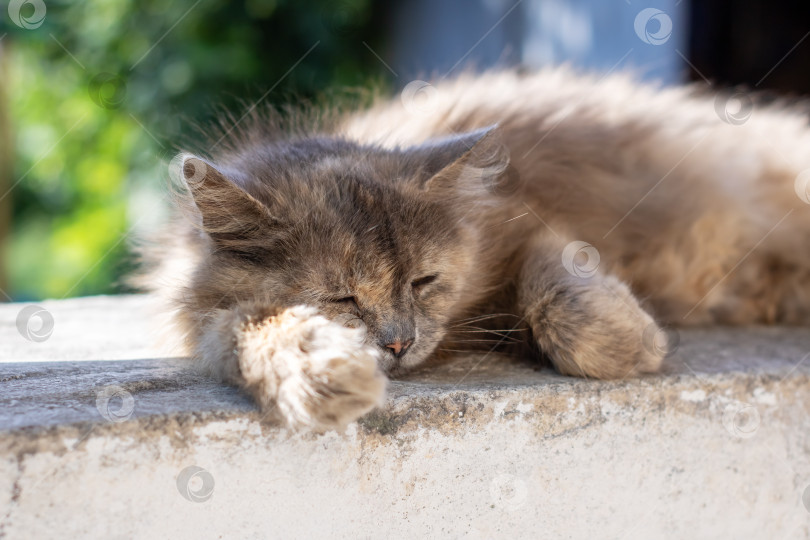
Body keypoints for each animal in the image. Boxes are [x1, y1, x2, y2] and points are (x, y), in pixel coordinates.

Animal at [137, 66, 808, 430]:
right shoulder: (207, 315)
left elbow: (564, 305)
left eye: (424, 281)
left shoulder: (533, 229)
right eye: (343, 297)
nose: (398, 342)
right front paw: (319, 371)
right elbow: (246, 329)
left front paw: (630, 342)